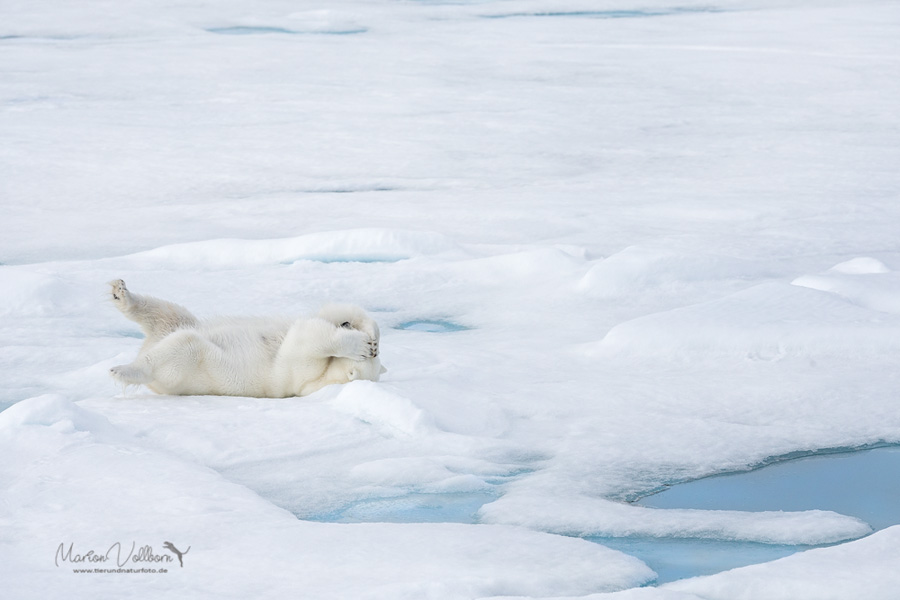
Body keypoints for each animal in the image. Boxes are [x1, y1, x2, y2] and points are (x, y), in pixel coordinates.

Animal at [108, 280, 384, 398]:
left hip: (185, 368)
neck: (328, 377)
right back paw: (120, 293)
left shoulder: (302, 373)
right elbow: (328, 314)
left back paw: (123, 369)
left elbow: (308, 336)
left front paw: (359, 345)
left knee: (181, 344)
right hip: (177, 323)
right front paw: (370, 336)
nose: (346, 326)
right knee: (167, 313)